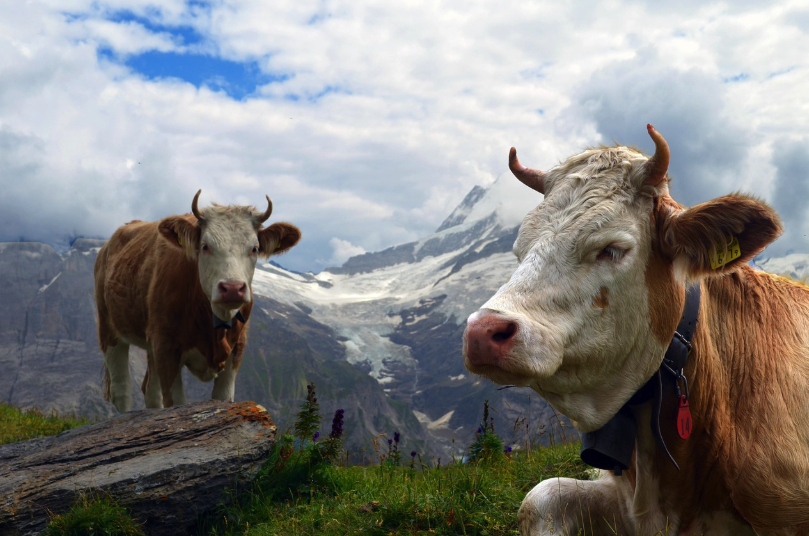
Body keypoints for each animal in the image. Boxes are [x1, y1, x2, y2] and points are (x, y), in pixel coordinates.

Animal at [95, 190, 301, 412]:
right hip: (109, 330)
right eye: (205, 246)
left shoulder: (238, 347)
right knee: (122, 390)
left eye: (254, 248)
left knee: (150, 390)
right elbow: (175, 403)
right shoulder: (166, 346)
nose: (232, 288)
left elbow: (223, 399)